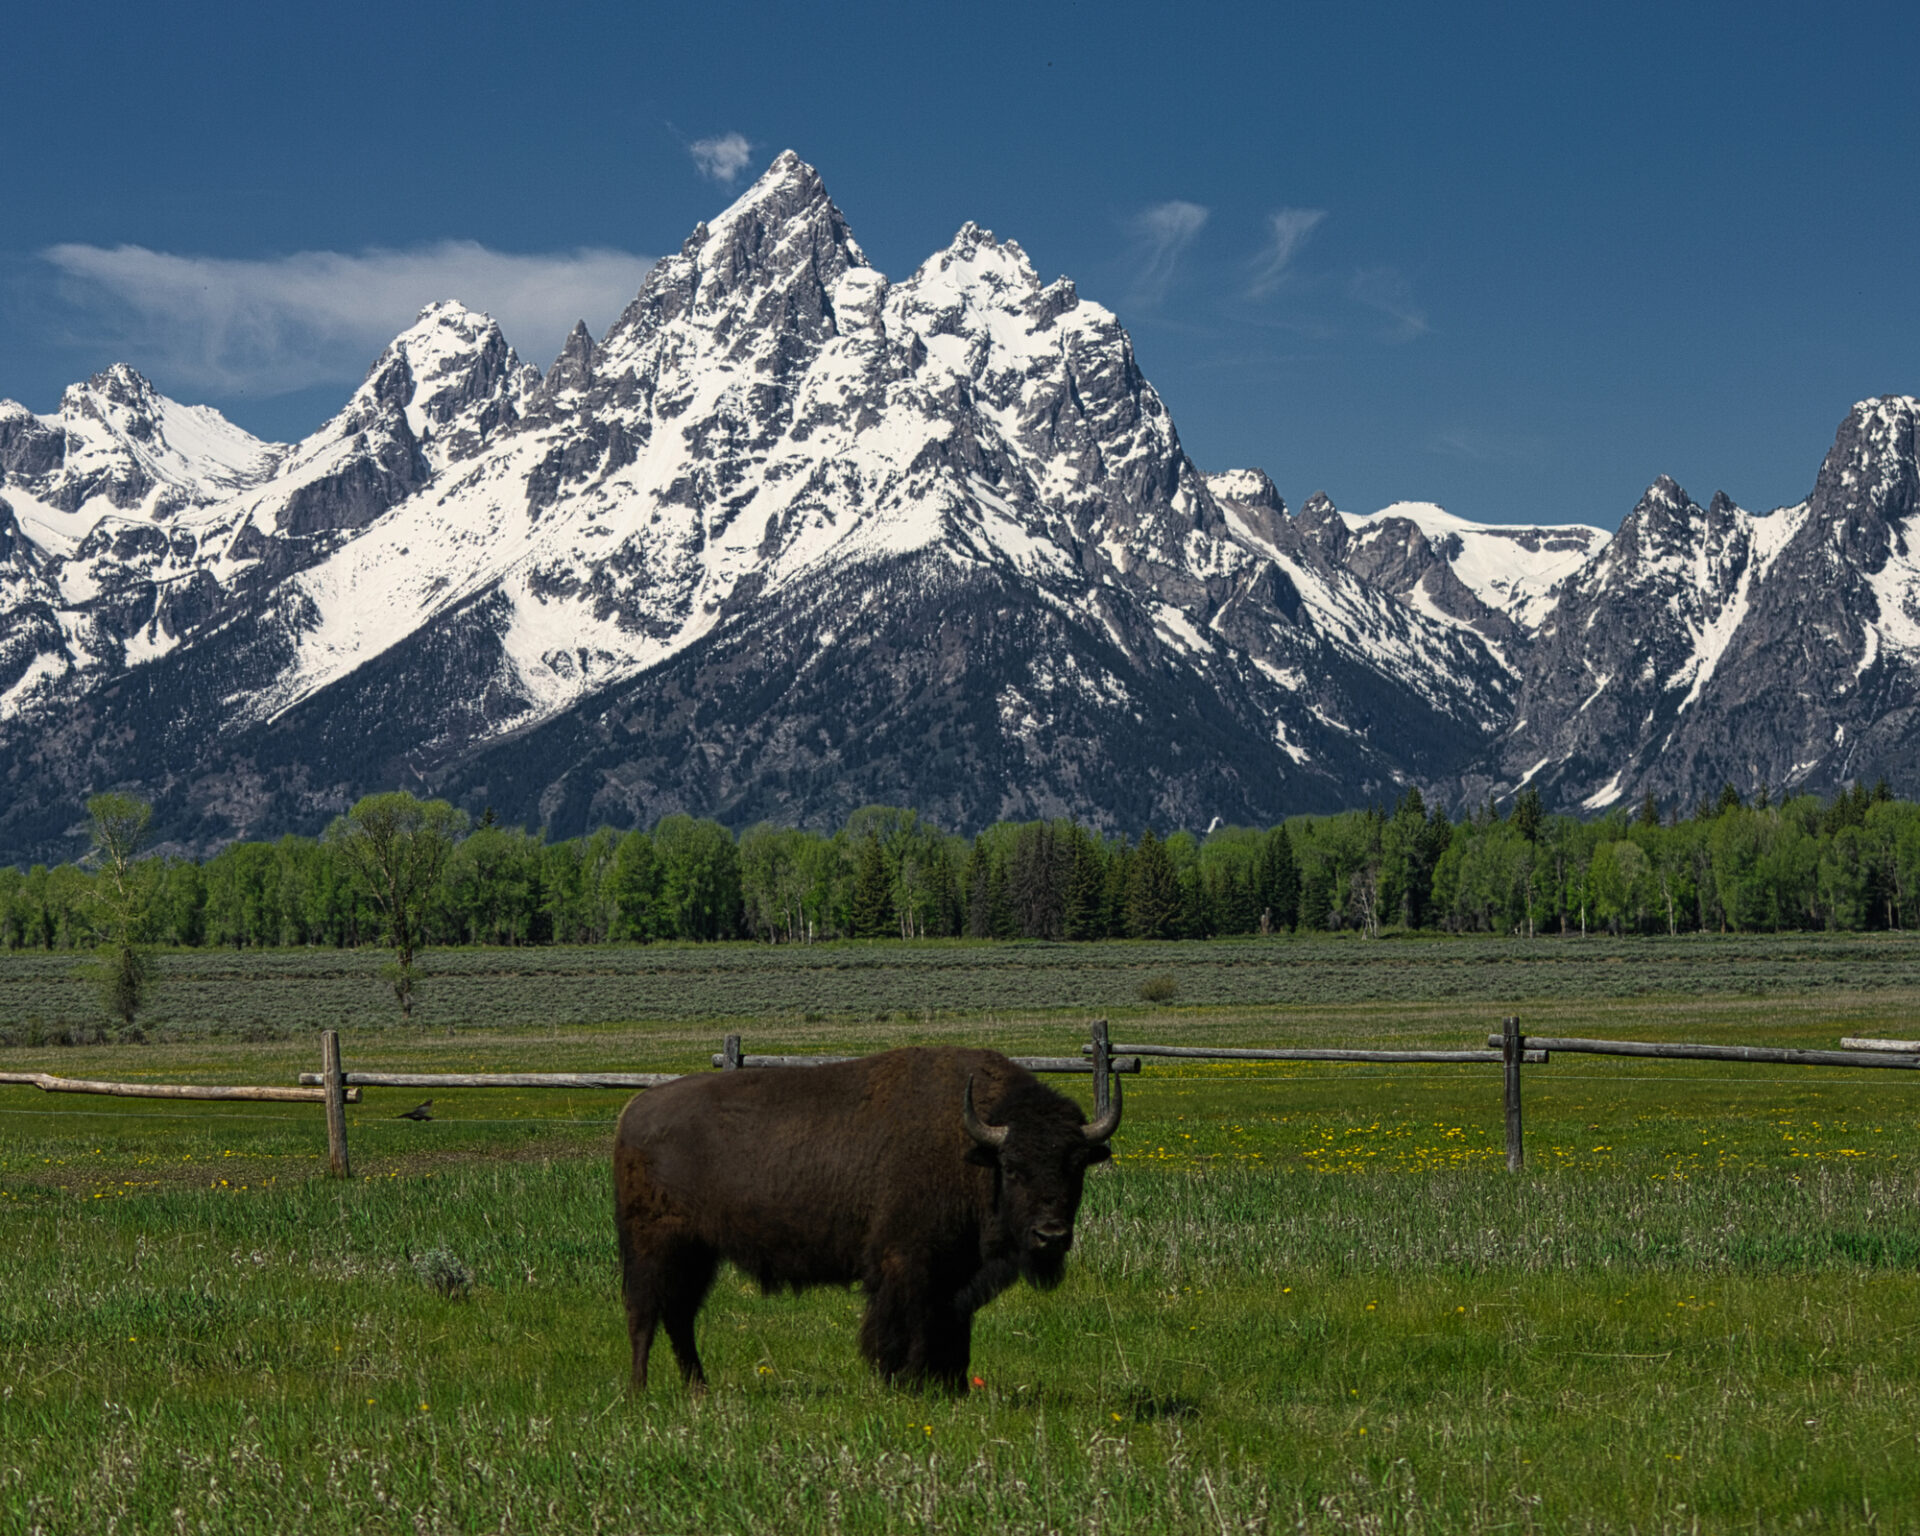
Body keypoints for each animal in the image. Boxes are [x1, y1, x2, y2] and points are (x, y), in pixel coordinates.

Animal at [613, 1045, 1122, 1392]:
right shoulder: (907, 1264)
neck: (974, 1151)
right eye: (1012, 1167)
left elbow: (954, 1328)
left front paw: (952, 1387)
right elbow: (908, 1324)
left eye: (1076, 1166)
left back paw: (698, 1388)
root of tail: (634, 1111)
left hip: (698, 1253)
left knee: (679, 1315)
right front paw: (906, 1382)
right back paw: (640, 1390)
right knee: (644, 1312)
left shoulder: (957, 1275)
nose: (1050, 1235)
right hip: (653, 1246)